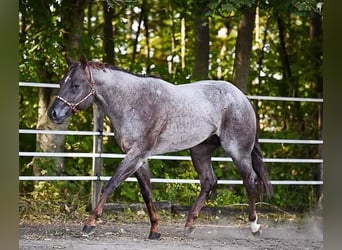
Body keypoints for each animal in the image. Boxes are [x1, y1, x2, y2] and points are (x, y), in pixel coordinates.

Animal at [47, 56, 272, 238]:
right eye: (61, 82)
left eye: (76, 85)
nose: (53, 113)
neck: (133, 101)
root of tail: (242, 98)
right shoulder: (139, 158)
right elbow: (147, 192)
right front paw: (155, 230)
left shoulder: (136, 154)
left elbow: (110, 184)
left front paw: (90, 224)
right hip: (200, 151)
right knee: (209, 181)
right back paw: (189, 225)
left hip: (238, 151)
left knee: (250, 181)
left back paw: (255, 227)